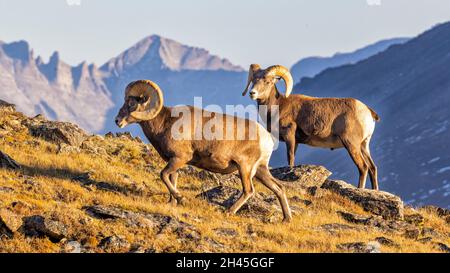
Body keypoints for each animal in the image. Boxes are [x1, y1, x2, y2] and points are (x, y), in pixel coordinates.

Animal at [115, 78, 292, 221]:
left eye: (131, 103)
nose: (117, 121)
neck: (165, 123)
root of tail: (267, 139)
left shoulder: (179, 159)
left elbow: (163, 175)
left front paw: (181, 199)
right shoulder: (175, 162)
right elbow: (171, 179)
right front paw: (172, 203)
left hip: (245, 169)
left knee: (248, 190)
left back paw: (229, 212)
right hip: (261, 171)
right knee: (279, 188)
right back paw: (286, 219)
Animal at [243, 65, 380, 189]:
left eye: (267, 81)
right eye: (253, 80)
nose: (252, 93)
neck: (278, 106)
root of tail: (368, 111)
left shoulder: (289, 136)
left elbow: (290, 157)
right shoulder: (296, 142)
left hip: (352, 144)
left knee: (363, 167)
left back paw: (360, 189)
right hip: (364, 145)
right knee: (372, 167)